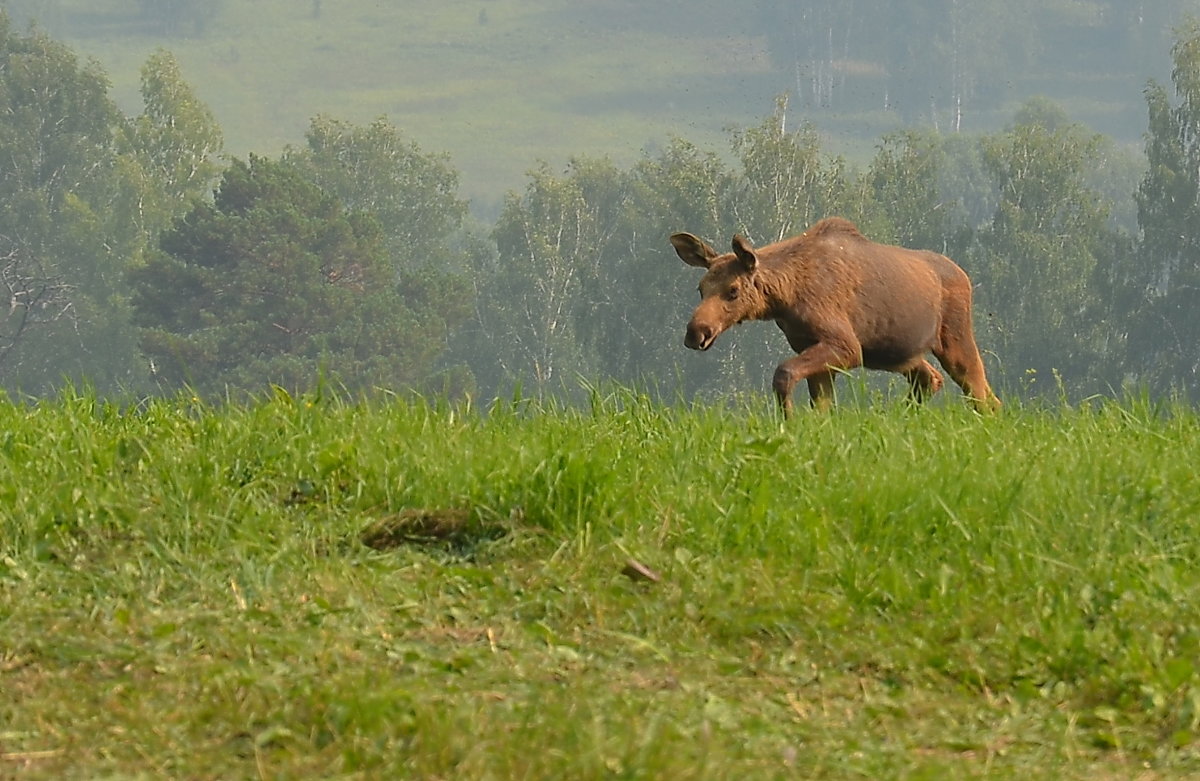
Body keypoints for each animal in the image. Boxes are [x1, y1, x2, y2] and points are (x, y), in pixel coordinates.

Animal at [672, 217, 998, 415]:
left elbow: (784, 373)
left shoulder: (846, 345)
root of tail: (965, 276)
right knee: (931, 379)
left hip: (955, 338)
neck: (785, 297)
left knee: (983, 395)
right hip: (901, 353)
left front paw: (788, 419)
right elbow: (821, 406)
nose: (695, 332)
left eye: (733, 290)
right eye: (700, 288)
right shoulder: (811, 346)